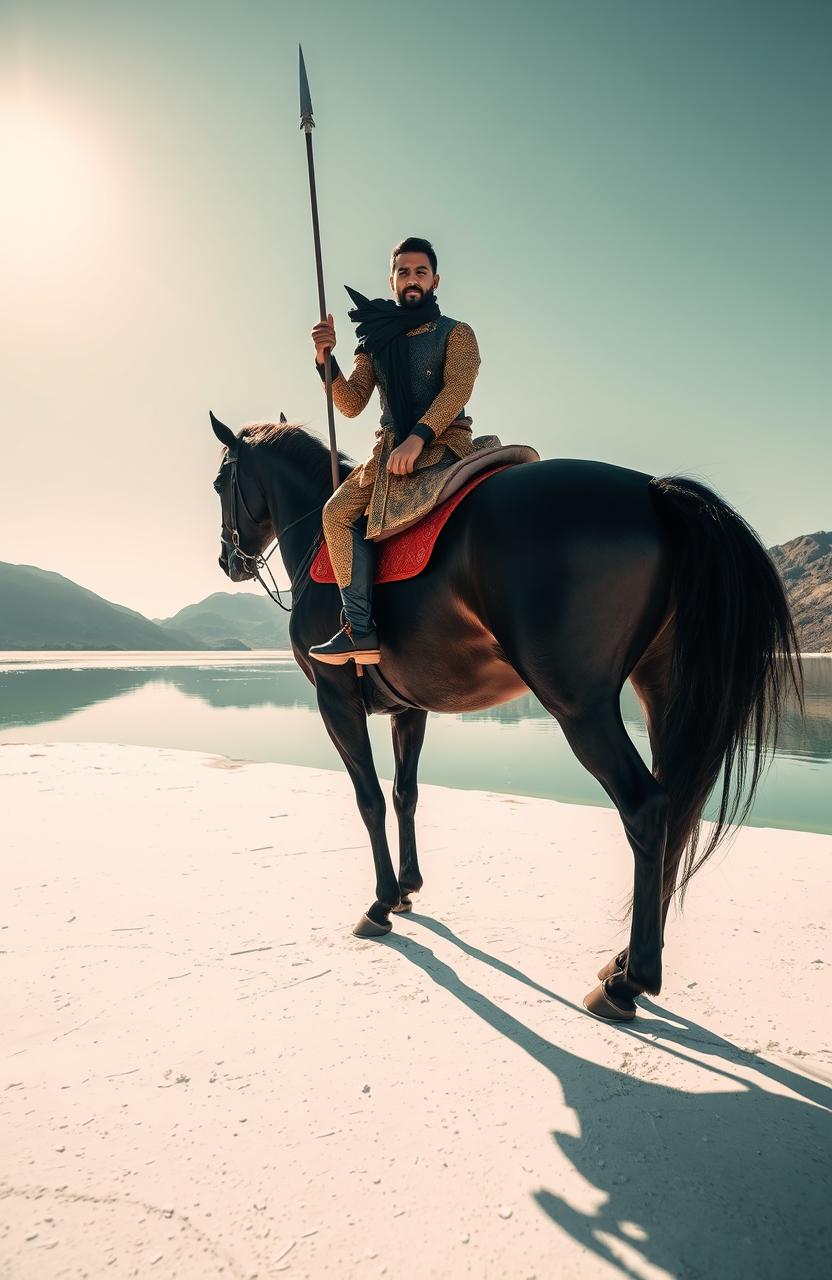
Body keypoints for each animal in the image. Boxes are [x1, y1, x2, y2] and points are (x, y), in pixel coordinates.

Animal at [207, 417, 798, 1018]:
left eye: (219, 483)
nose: (228, 561)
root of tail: (652, 491)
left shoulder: (335, 699)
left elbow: (369, 799)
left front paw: (380, 903)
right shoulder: (408, 709)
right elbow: (404, 794)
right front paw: (408, 888)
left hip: (579, 705)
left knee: (647, 808)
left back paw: (628, 984)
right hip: (663, 691)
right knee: (677, 805)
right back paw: (621, 962)